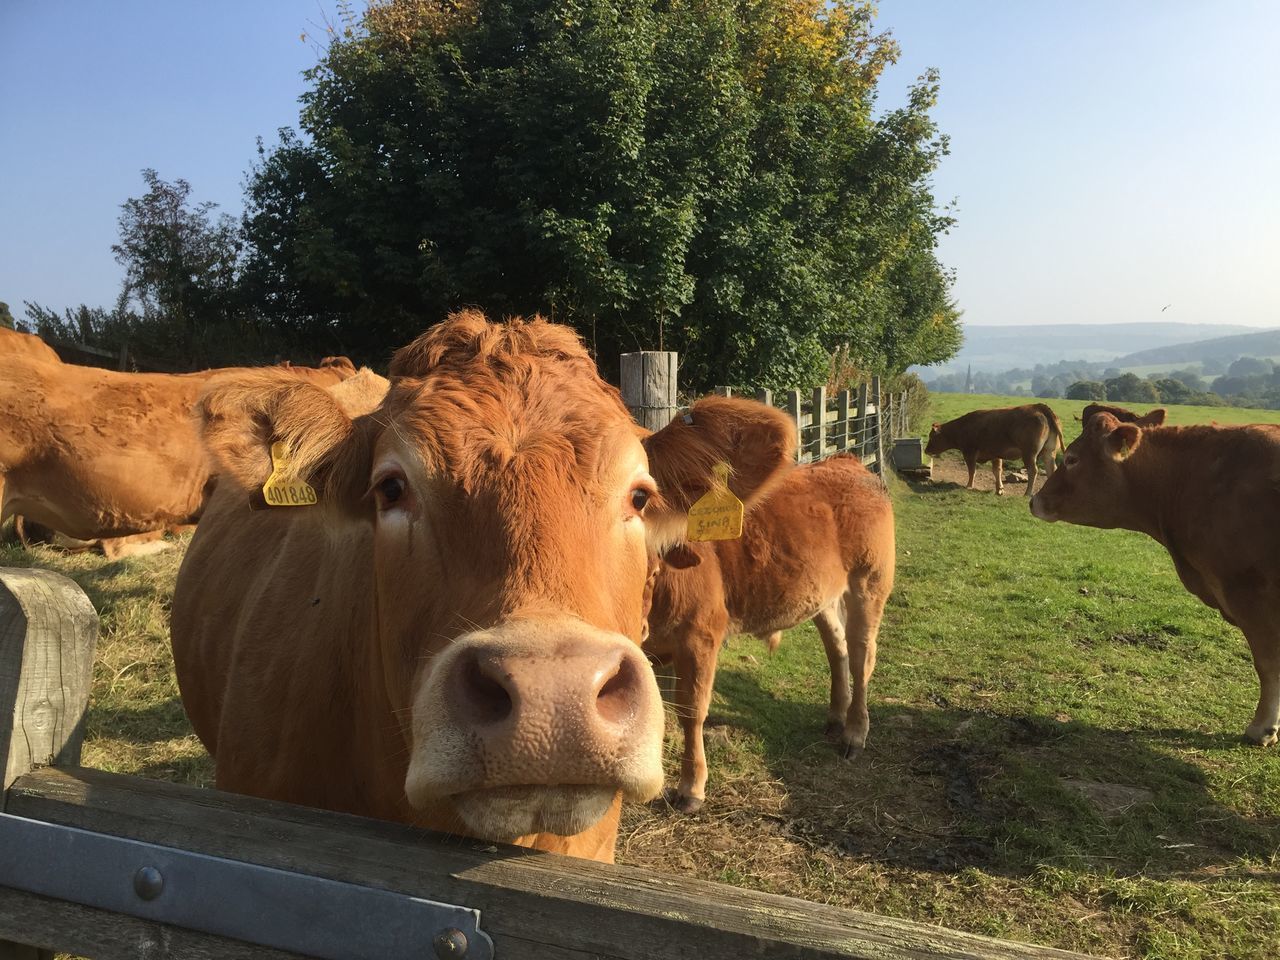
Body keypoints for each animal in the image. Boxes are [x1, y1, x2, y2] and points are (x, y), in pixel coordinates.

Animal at [645, 455, 896, 814]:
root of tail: (845, 461)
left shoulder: (699, 635)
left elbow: (691, 710)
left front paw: (691, 788)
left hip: (869, 583)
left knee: (862, 657)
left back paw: (854, 733)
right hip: (821, 595)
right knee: (838, 648)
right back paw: (836, 717)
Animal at [926, 404, 1064, 496]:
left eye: (931, 437)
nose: (926, 450)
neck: (962, 427)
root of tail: (1038, 407)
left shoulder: (969, 453)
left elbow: (972, 471)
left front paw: (969, 486)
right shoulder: (995, 454)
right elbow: (997, 471)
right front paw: (999, 489)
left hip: (1029, 453)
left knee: (1033, 470)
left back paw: (1027, 493)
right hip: (1049, 452)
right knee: (1052, 470)